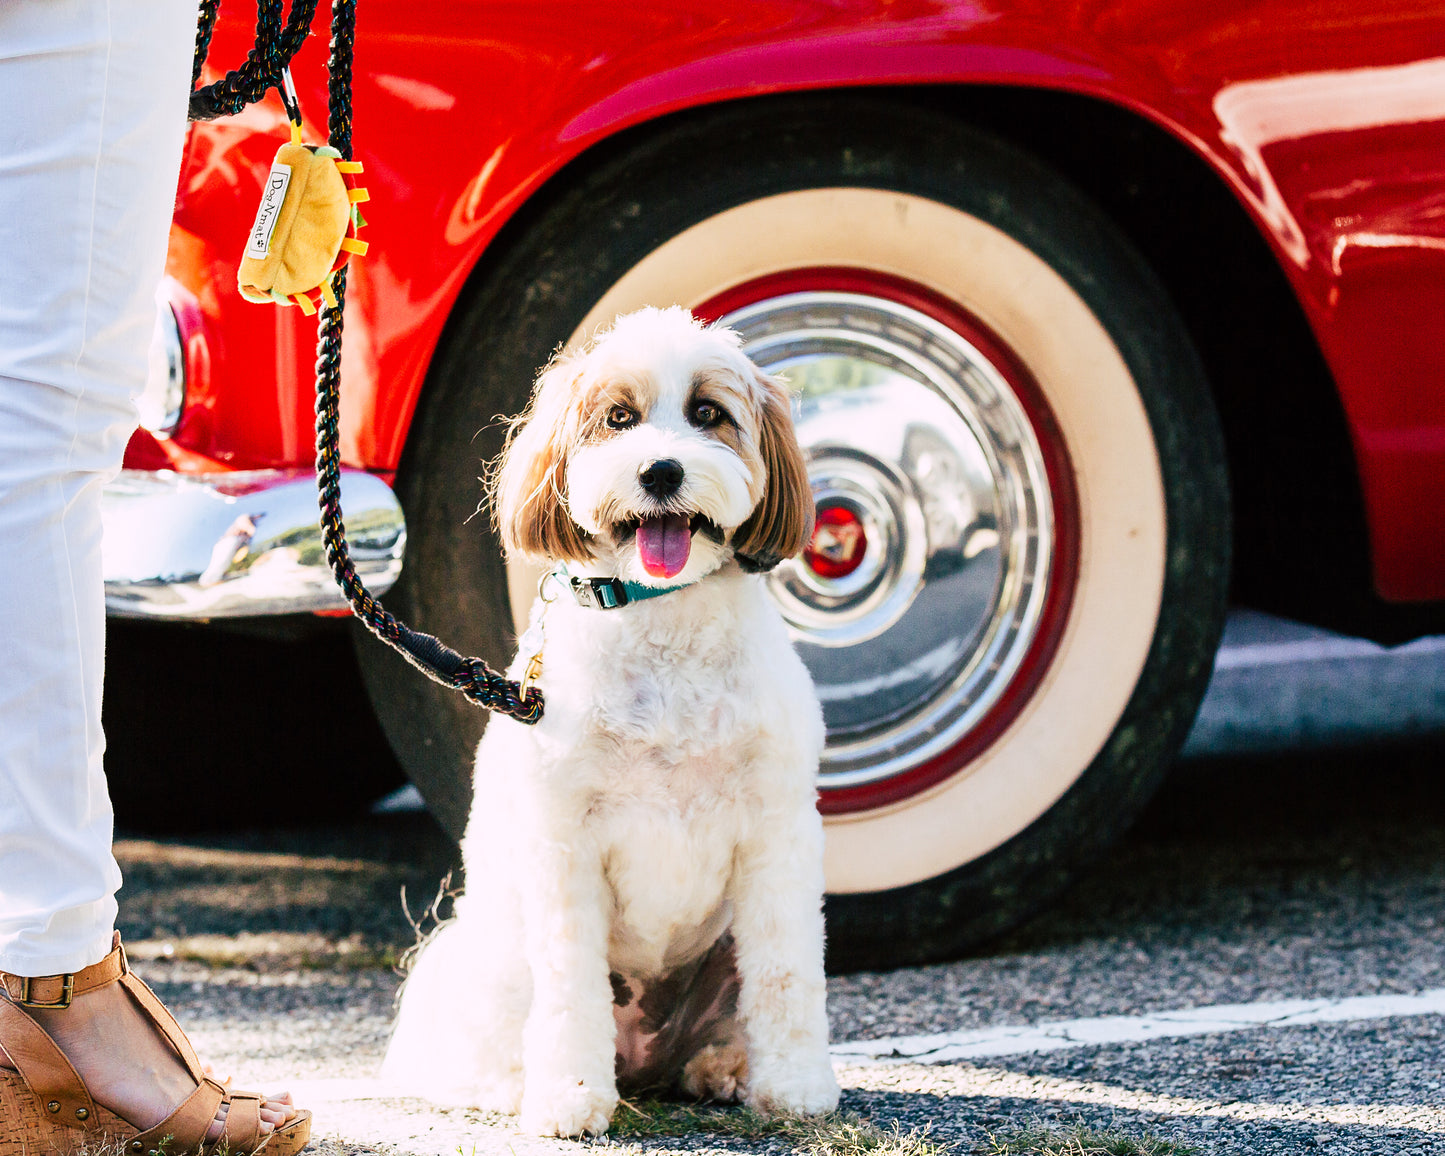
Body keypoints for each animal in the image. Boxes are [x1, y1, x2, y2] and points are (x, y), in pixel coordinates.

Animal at [378, 306, 843, 1138]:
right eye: (618, 419)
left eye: (707, 414)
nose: (659, 472)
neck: (662, 618)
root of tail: (647, 1060)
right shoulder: (564, 844)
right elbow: (570, 987)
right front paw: (568, 1098)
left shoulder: (778, 830)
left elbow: (787, 970)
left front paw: (793, 1086)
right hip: (495, 950)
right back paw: (514, 1086)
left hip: (717, 955)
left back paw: (722, 1067)